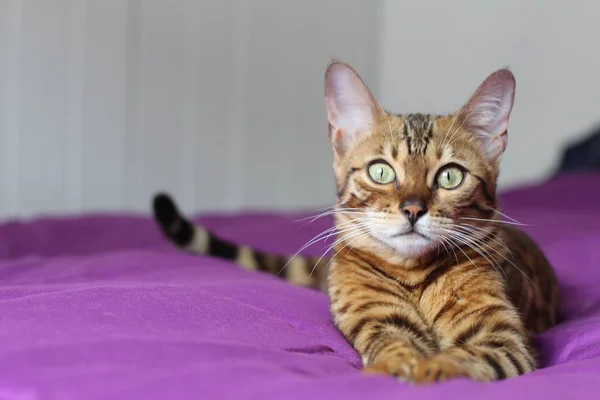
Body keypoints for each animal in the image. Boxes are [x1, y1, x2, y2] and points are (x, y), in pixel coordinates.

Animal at [151, 61, 564, 382]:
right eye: (381, 171)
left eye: (450, 176)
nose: (413, 209)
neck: (413, 275)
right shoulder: (377, 316)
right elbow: (393, 344)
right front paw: (398, 365)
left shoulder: (503, 338)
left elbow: (472, 357)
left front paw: (435, 368)